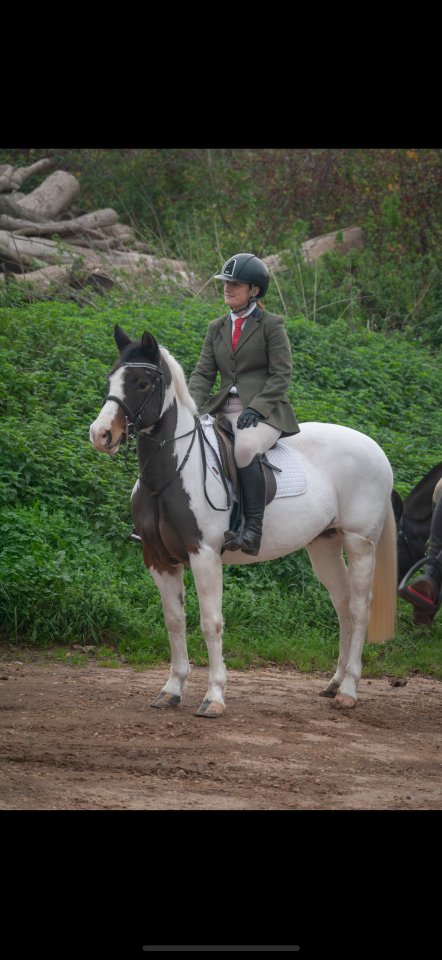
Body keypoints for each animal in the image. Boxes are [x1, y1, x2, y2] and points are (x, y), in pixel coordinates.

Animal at [89, 326, 397, 716]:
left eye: (142, 383)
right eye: (111, 378)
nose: (100, 435)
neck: (168, 476)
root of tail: (375, 447)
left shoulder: (203, 554)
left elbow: (211, 623)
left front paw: (214, 697)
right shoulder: (158, 558)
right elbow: (174, 621)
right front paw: (171, 690)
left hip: (359, 542)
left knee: (358, 608)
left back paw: (349, 690)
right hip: (324, 545)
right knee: (342, 603)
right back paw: (334, 683)